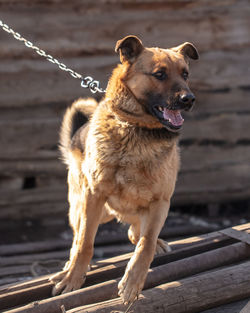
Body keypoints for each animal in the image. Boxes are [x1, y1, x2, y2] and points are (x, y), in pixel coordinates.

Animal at [51, 35, 199, 304]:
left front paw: (133, 282)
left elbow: (145, 244)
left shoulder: (160, 202)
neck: (134, 129)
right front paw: (73, 277)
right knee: (78, 236)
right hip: (85, 208)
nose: (189, 99)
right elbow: (85, 242)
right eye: (160, 74)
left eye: (185, 74)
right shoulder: (93, 196)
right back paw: (69, 265)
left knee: (135, 233)